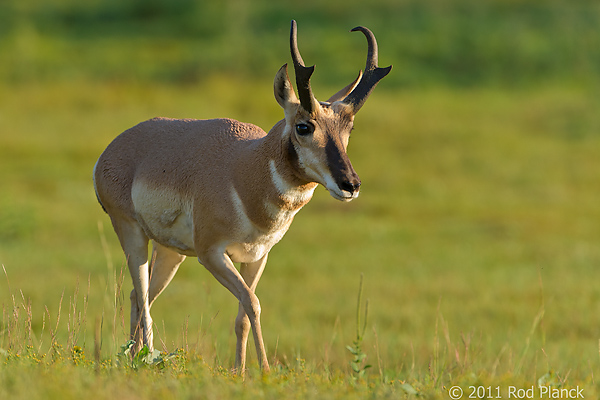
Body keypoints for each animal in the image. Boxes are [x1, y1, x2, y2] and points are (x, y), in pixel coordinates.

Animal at [95, 20, 390, 374]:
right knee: (141, 296)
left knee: (139, 296)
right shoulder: (212, 254)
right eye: (304, 126)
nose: (351, 185)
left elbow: (244, 314)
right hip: (132, 234)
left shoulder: (257, 256)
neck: (245, 168)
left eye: (349, 128)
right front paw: (264, 370)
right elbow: (253, 301)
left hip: (170, 252)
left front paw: (241, 371)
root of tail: (113, 148)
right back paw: (146, 356)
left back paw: (133, 356)